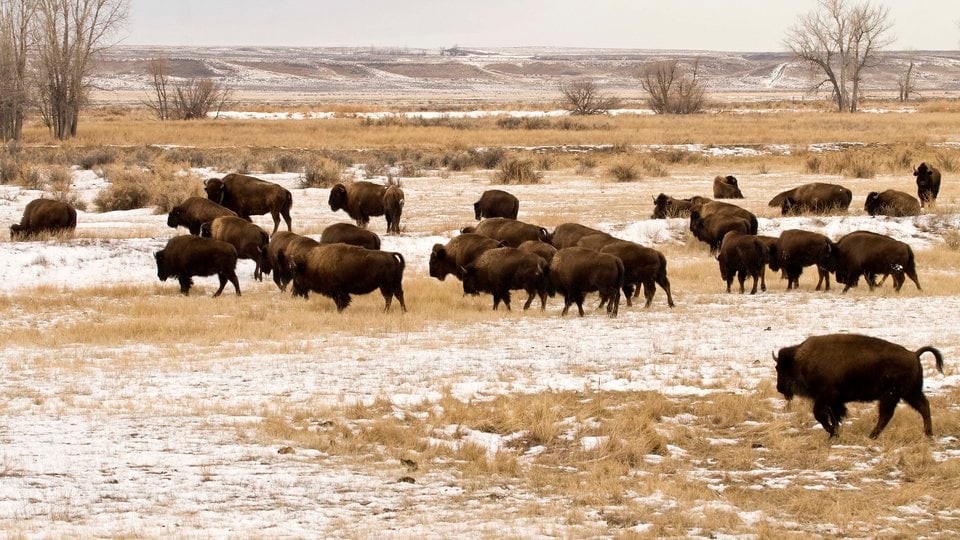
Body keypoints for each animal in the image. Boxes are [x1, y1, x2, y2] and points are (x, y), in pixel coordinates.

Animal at [774, 334, 944, 439]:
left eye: (781, 368)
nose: (779, 388)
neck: (801, 360)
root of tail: (914, 354)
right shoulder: (833, 401)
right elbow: (834, 416)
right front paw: (834, 434)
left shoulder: (825, 397)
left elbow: (820, 415)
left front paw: (832, 433)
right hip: (909, 393)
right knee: (923, 407)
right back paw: (928, 434)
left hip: (893, 395)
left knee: (887, 415)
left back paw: (872, 436)